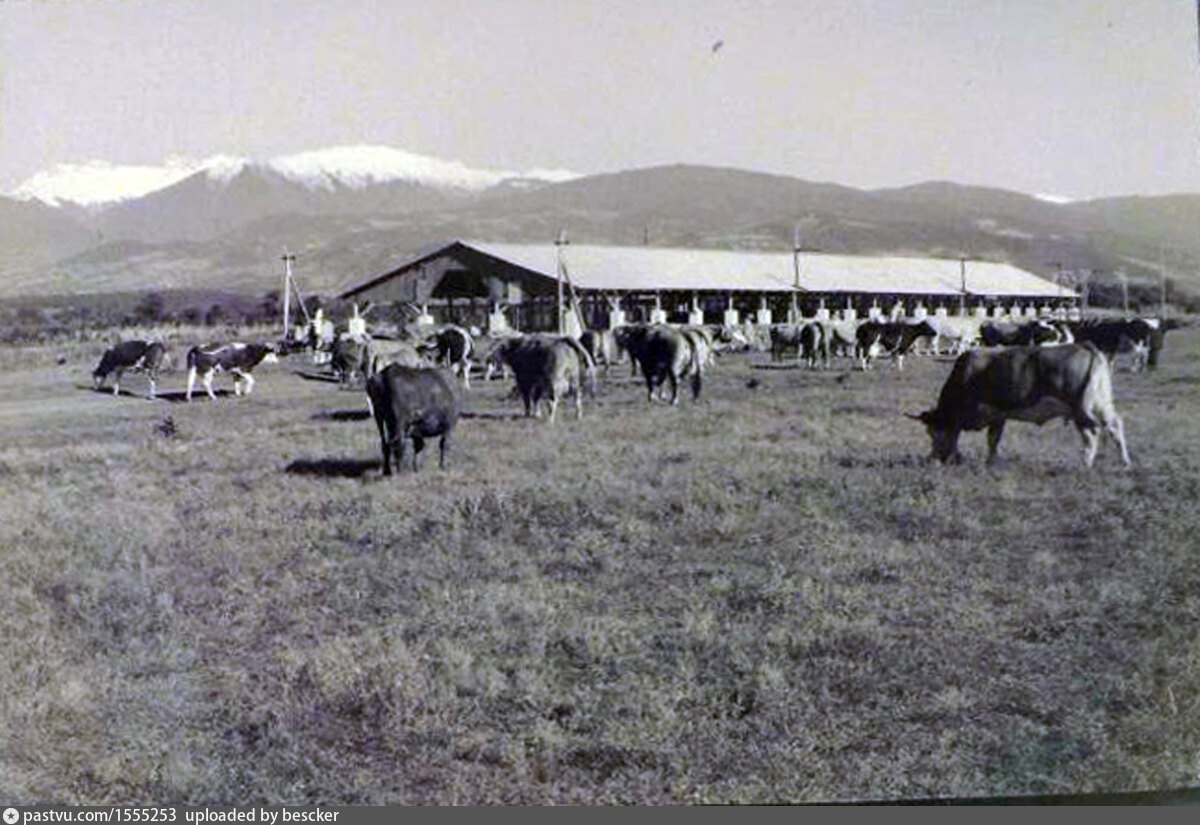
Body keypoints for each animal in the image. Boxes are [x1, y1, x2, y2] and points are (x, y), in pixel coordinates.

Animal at [907, 340, 1132, 470]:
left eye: (933, 432)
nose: (932, 459)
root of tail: (1085, 346)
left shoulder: (986, 412)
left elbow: (985, 438)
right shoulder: (999, 415)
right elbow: (994, 439)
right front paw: (992, 462)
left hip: (1084, 407)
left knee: (1101, 431)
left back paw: (1100, 464)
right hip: (1096, 404)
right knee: (1106, 429)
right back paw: (1107, 463)